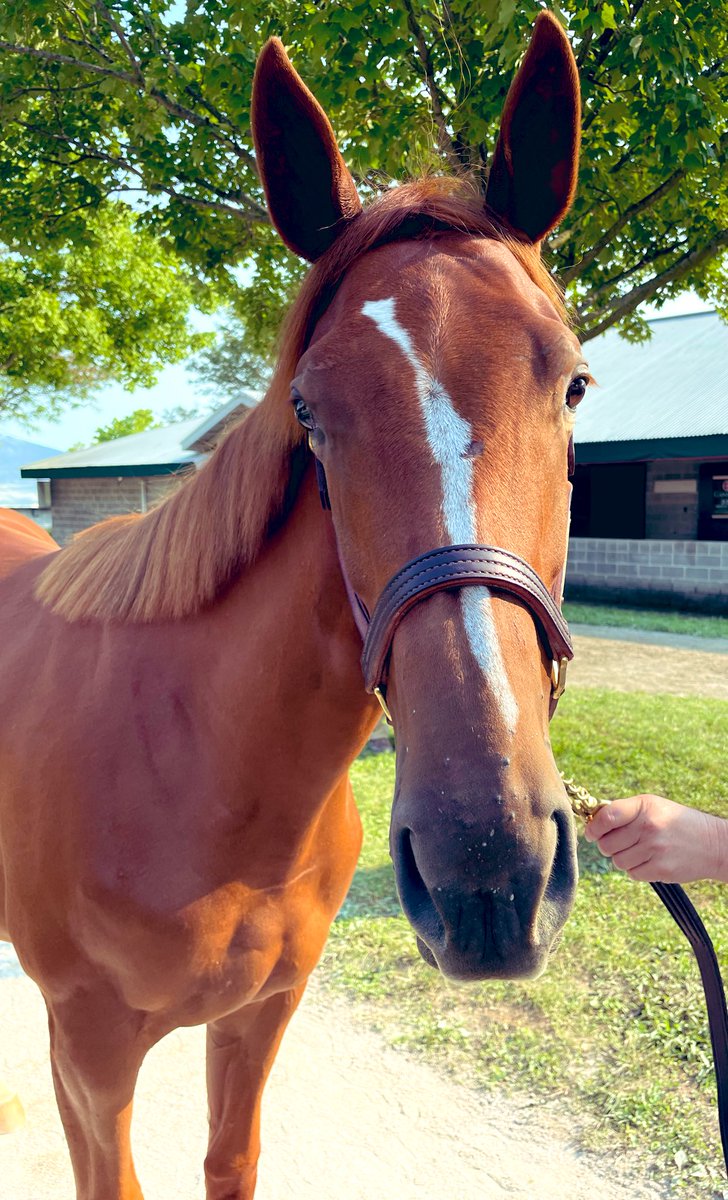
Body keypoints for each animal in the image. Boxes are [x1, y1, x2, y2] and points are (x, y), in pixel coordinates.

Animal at [0, 13, 587, 1198]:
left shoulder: (262, 1016)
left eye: (573, 384)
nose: (489, 870)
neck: (196, 776)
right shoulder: (86, 1054)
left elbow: (231, 1160)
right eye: (309, 409)